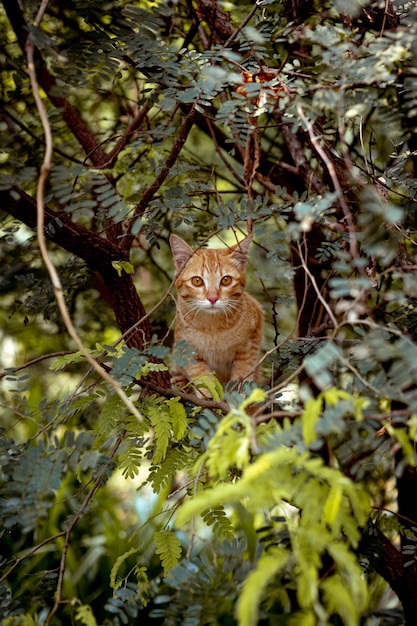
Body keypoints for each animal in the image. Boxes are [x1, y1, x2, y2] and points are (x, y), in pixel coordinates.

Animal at [168, 234, 260, 394]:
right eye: (197, 281)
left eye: (226, 280)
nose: (212, 298)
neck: (213, 327)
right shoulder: (185, 345)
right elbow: (198, 371)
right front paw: (208, 391)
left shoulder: (254, 333)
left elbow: (245, 366)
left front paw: (239, 391)